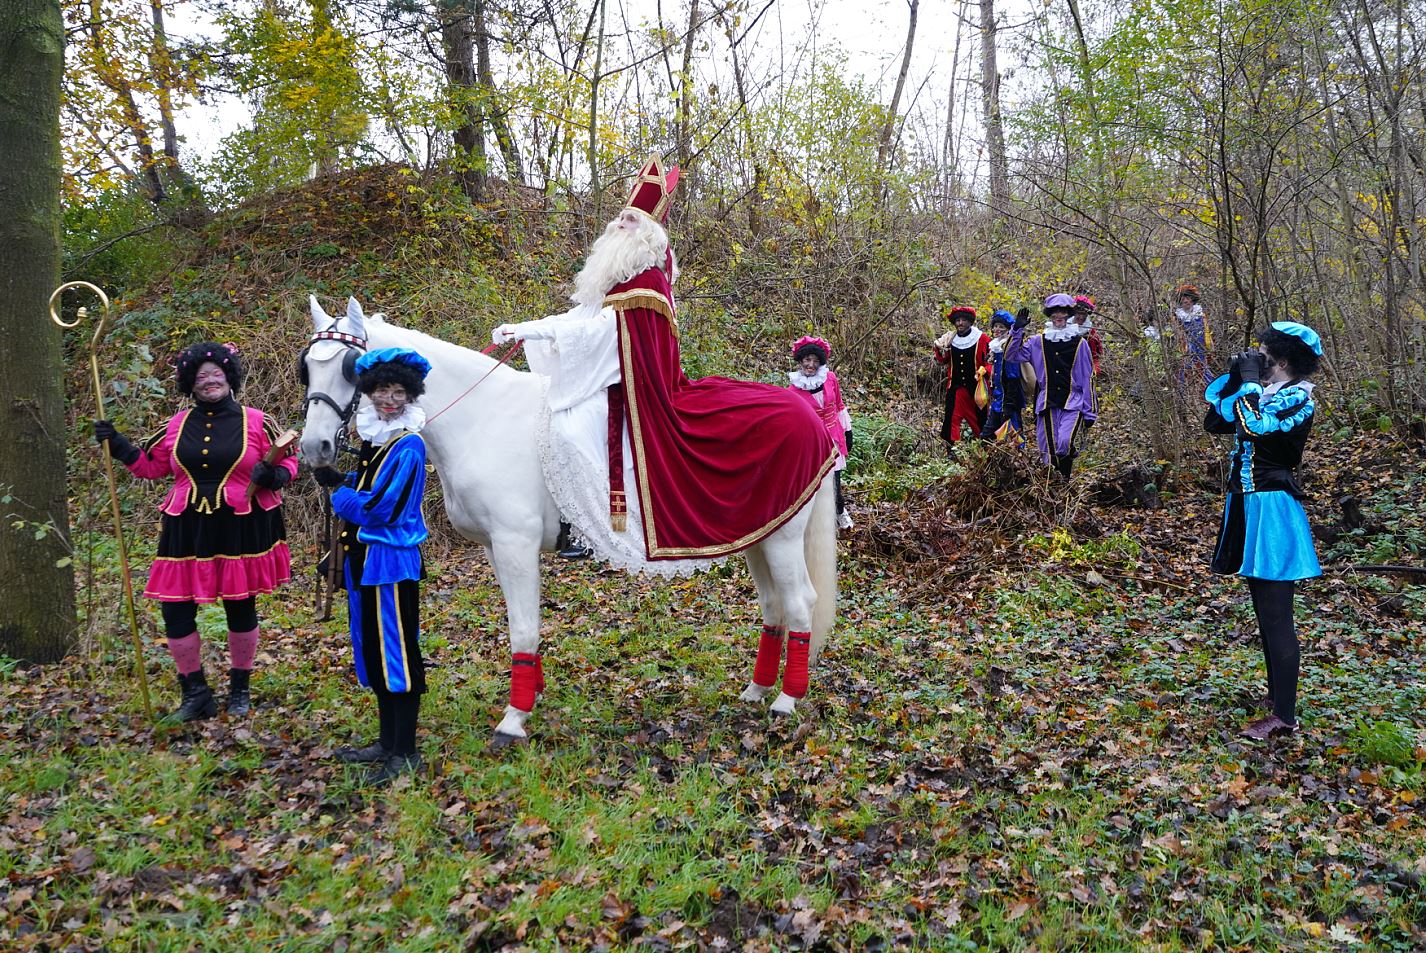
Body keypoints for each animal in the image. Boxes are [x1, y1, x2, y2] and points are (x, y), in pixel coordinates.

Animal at [300, 298, 832, 741]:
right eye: (308, 367)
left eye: (350, 368)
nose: (314, 449)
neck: (483, 418)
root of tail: (808, 414)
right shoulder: (495, 548)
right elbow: (523, 622)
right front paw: (529, 695)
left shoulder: (514, 544)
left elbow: (523, 627)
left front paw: (514, 719)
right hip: (758, 538)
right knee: (773, 607)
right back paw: (758, 690)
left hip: (782, 539)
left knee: (800, 602)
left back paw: (787, 699)